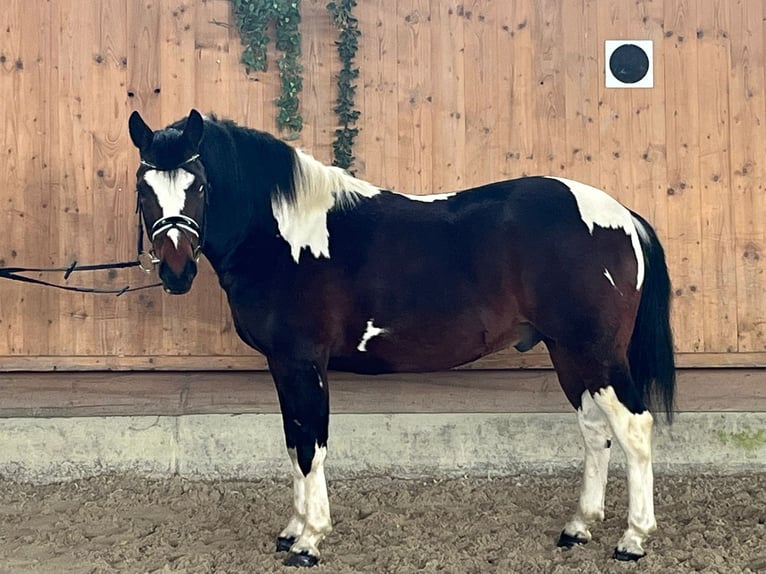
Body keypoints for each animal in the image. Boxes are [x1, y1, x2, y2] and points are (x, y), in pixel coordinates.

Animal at [128, 109, 675, 567]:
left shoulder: (303, 362)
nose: (176, 271)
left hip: (596, 353)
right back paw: (578, 527)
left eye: (199, 184)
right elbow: (293, 441)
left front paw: (309, 540)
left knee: (634, 427)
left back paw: (633, 539)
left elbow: (310, 446)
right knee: (595, 431)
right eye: (143, 187)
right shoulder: (283, 366)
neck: (286, 235)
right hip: (569, 354)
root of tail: (622, 216)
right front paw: (291, 530)